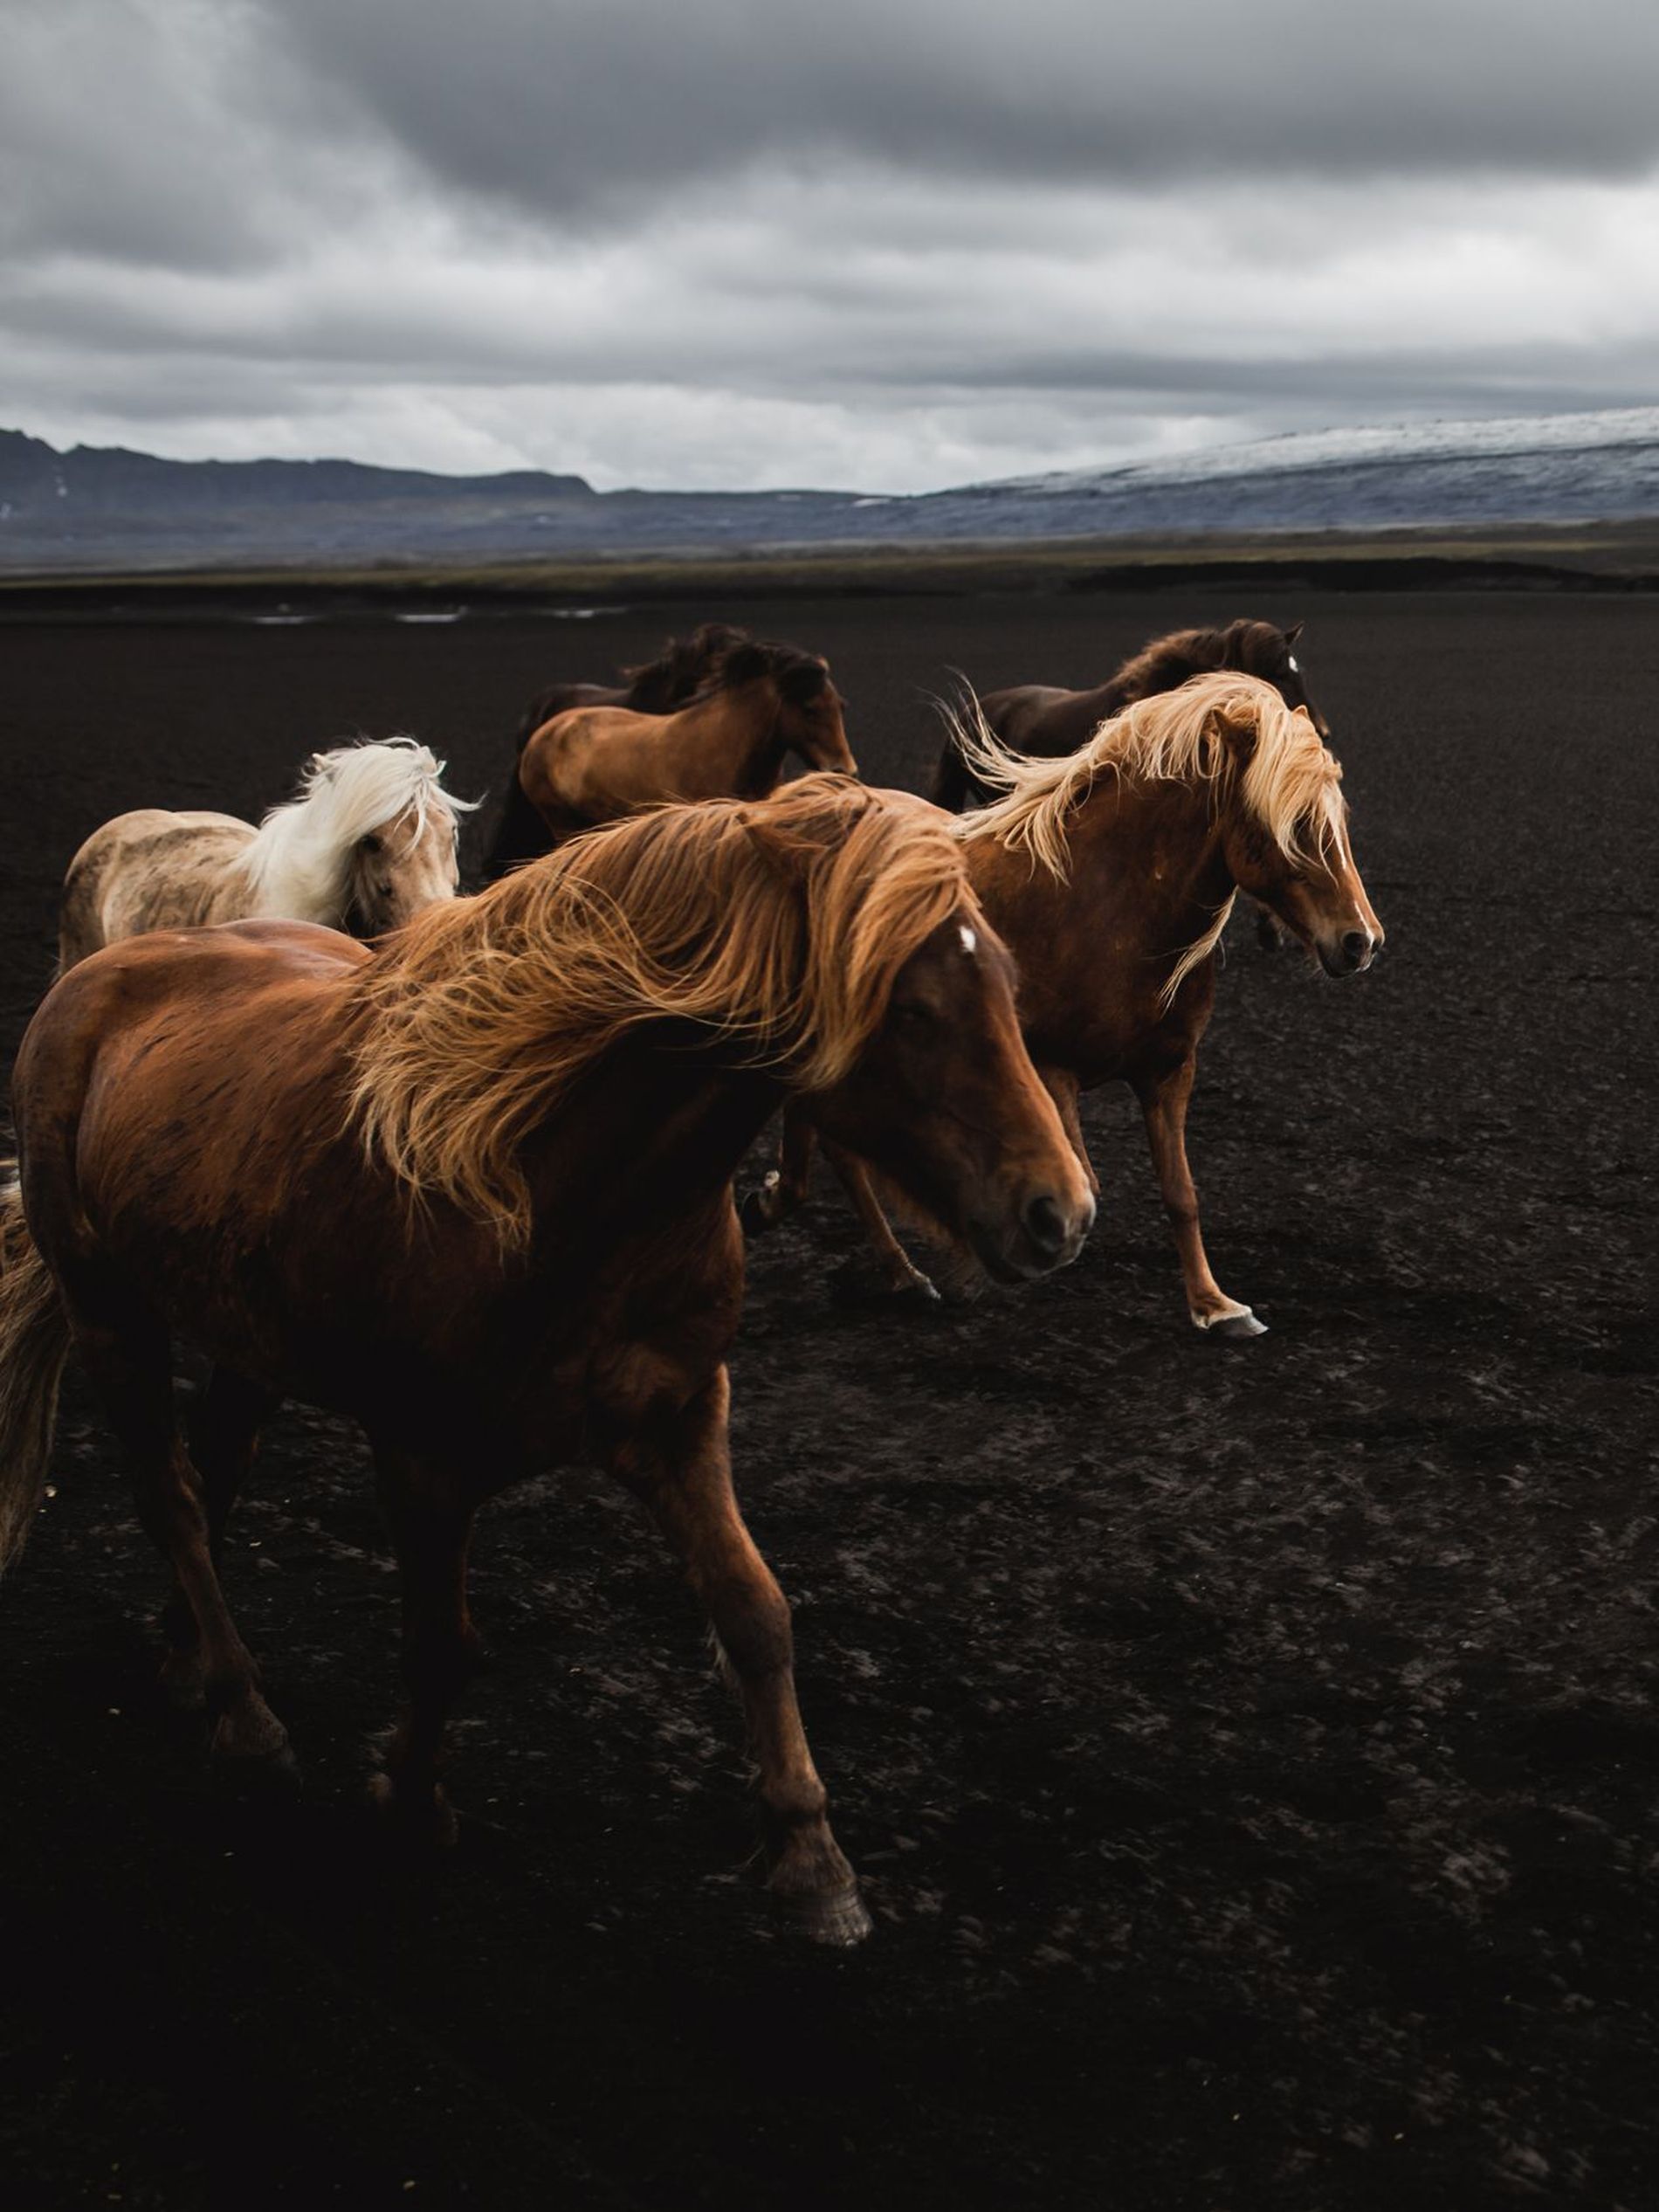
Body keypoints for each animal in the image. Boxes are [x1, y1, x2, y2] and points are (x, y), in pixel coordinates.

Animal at [0, 769, 1097, 1947]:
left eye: (1005, 984)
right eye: (909, 1004)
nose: (1061, 1214)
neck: (556, 1187)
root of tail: (100, 976)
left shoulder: (682, 1414)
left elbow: (755, 1614)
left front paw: (811, 1857)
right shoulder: (424, 1459)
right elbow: (442, 1643)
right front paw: (411, 1798)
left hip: (250, 1340)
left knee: (216, 1476)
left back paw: (185, 1658)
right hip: (111, 1315)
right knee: (169, 1497)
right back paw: (243, 1708)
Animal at [517, 641, 857, 853]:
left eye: (841, 705)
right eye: (809, 709)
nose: (844, 770)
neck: (724, 748)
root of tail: (544, 733)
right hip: (564, 824)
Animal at [747, 667, 1380, 1327]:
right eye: (1293, 824)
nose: (1360, 940)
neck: (1105, 902)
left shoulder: (1168, 1072)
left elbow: (1181, 1193)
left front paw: (1214, 1305)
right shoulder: (1052, 1069)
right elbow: (1085, 1183)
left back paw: (895, 1269)